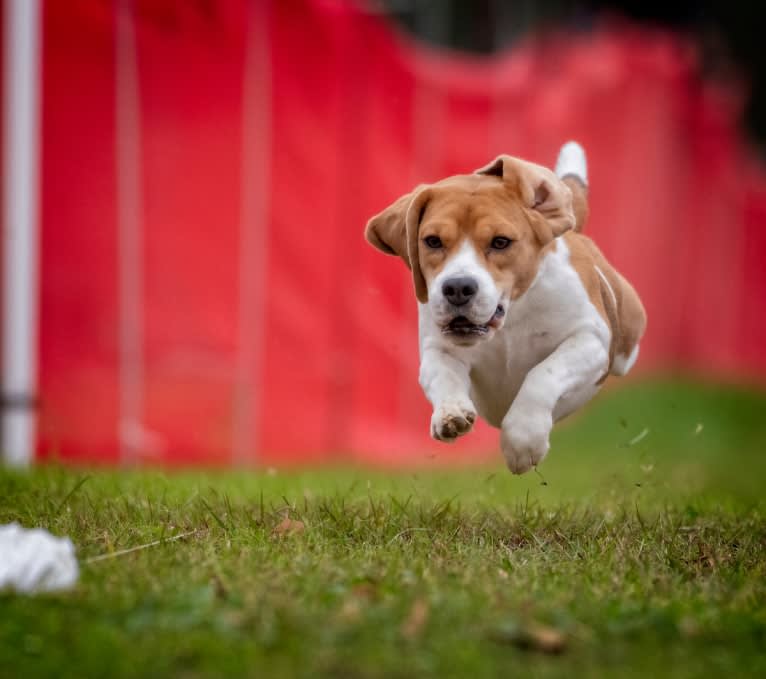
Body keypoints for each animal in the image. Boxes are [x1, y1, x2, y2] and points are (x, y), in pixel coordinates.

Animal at [366, 141, 648, 476]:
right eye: (432, 241)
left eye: (500, 242)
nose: (458, 287)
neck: (510, 317)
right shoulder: (439, 348)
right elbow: (442, 376)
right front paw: (450, 413)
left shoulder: (590, 339)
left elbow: (543, 374)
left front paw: (523, 442)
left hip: (624, 344)